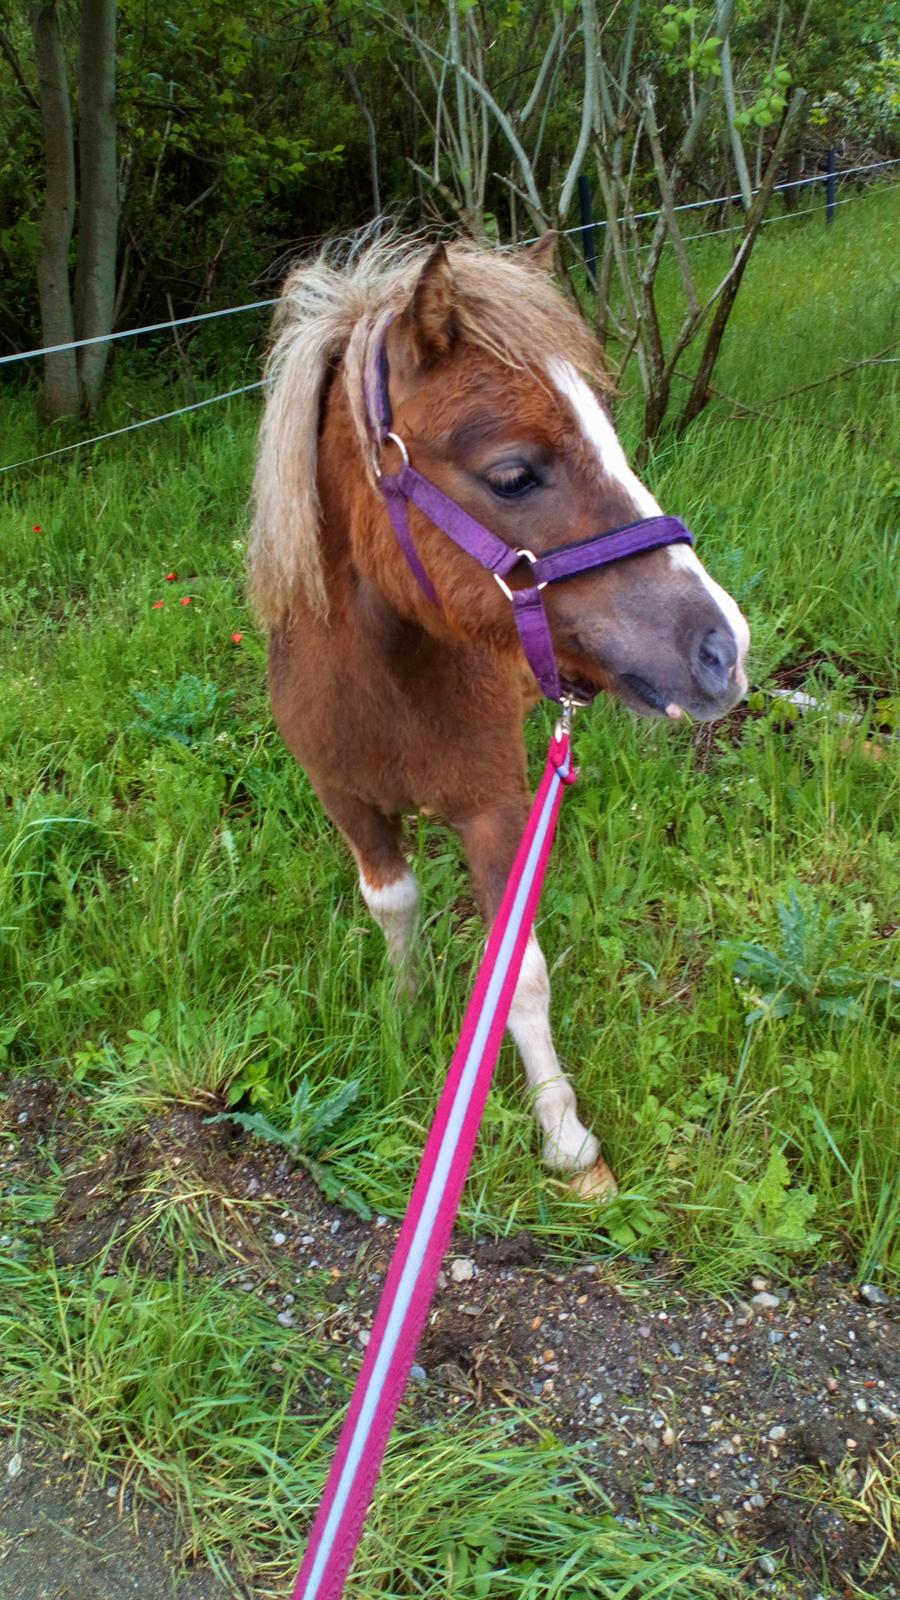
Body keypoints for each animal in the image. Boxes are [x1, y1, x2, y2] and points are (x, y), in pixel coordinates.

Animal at [248, 228, 746, 1203]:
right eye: (514, 475)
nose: (725, 645)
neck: (386, 685)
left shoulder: (494, 808)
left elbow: (517, 973)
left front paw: (568, 1141)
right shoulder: (347, 801)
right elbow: (393, 902)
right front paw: (405, 1009)